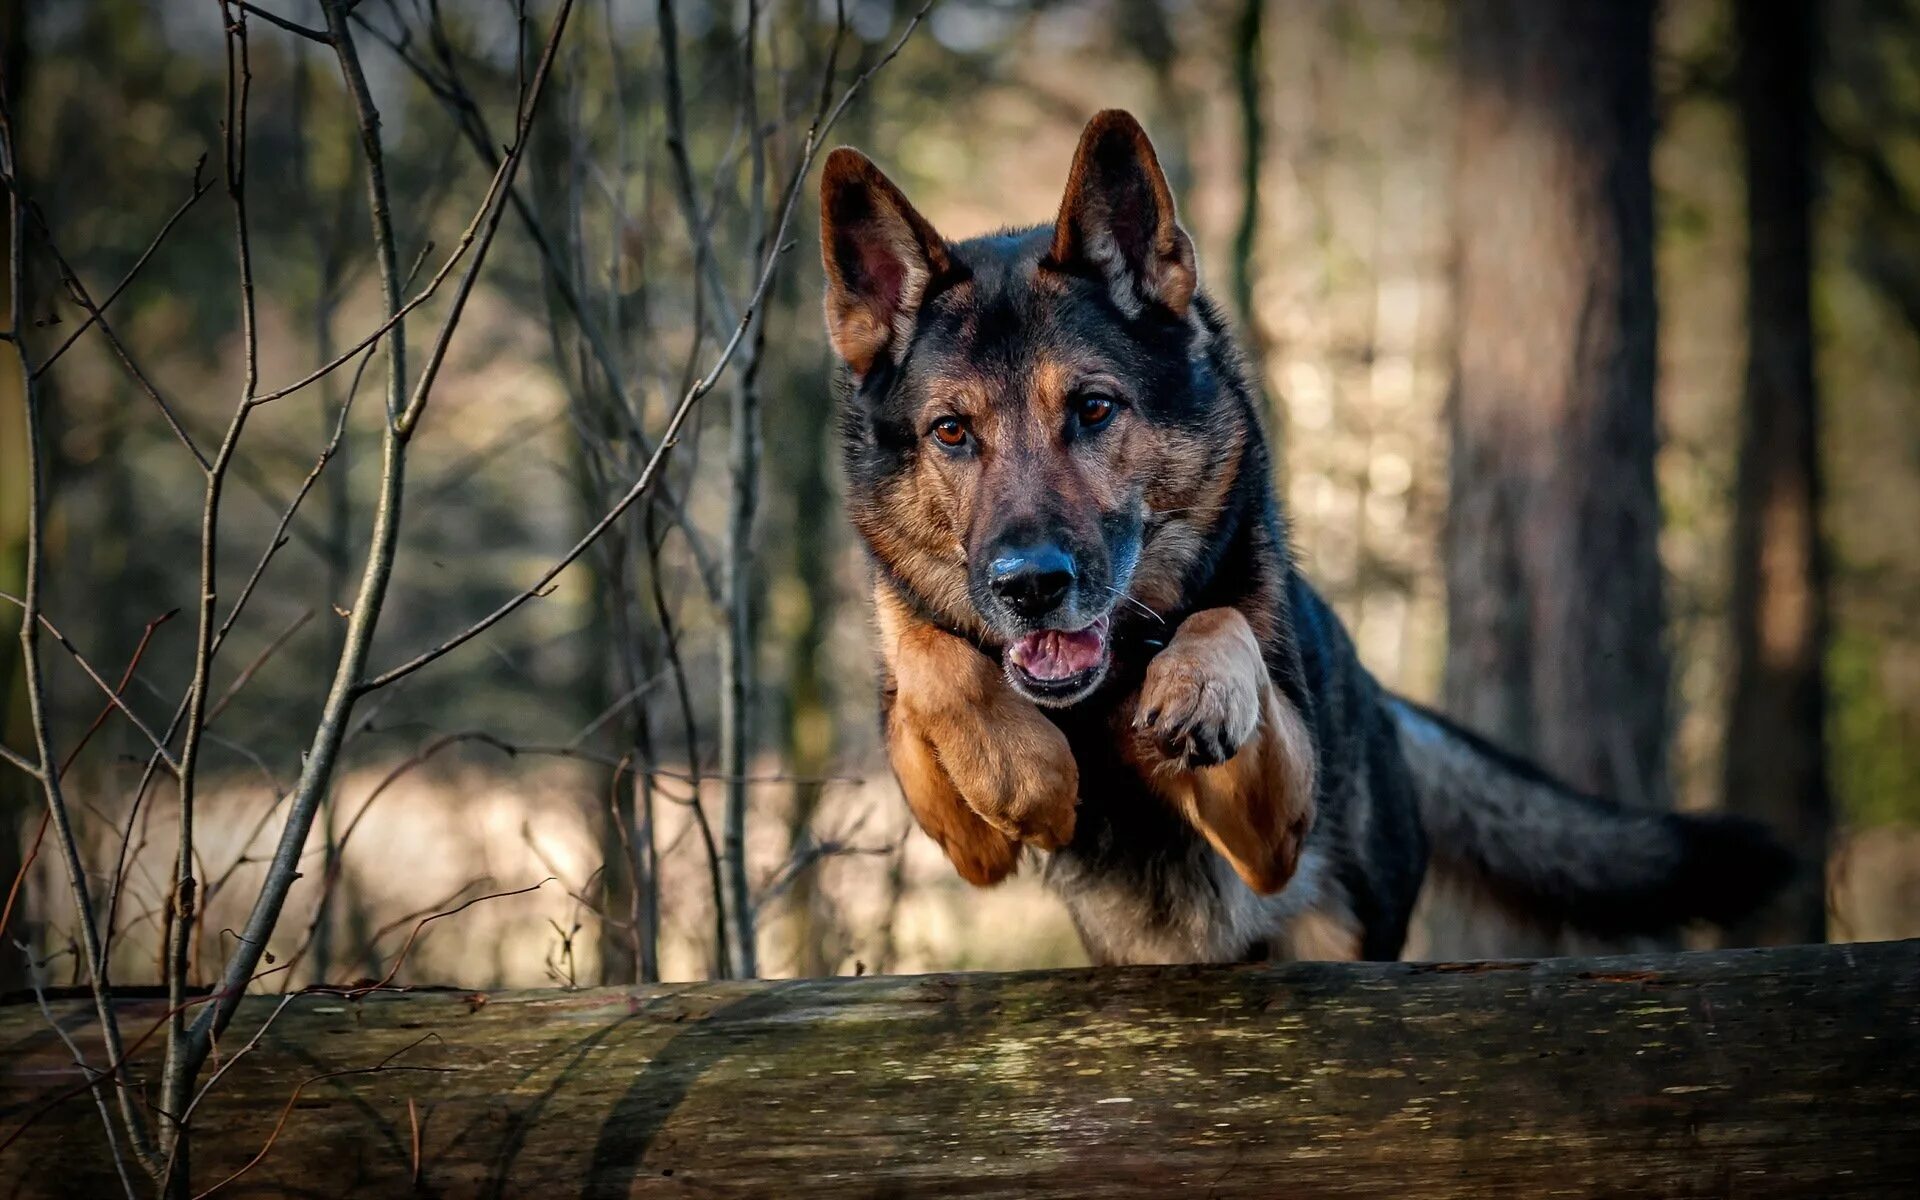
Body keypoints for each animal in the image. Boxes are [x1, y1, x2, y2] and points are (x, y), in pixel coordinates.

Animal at [817, 107, 1789, 960]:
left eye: (1093, 409)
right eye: (951, 432)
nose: (1029, 585)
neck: (1101, 696)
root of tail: (1379, 697)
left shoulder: (1276, 825)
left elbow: (1226, 621)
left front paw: (1199, 686)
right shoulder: (964, 841)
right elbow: (928, 662)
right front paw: (1024, 773)